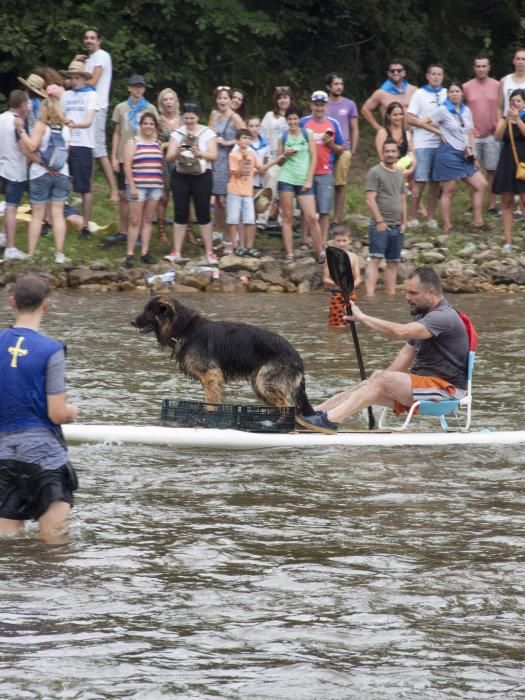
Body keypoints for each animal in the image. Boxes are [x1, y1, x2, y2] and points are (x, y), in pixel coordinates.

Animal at [132, 296, 312, 416]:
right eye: (145, 309)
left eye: (149, 311)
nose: (131, 322)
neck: (184, 328)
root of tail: (298, 359)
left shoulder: (211, 375)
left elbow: (211, 402)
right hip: (259, 385)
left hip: (264, 383)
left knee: (286, 406)